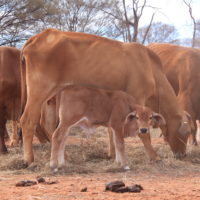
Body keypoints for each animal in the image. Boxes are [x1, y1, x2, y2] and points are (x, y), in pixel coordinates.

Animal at [20, 28, 191, 166]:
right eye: (188, 132)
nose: (182, 155)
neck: (150, 67)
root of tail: (37, 37)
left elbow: (112, 130)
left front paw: (114, 155)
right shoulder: (138, 98)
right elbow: (143, 132)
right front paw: (154, 157)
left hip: (52, 98)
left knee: (50, 126)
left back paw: (63, 157)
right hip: (39, 92)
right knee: (28, 121)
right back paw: (29, 160)